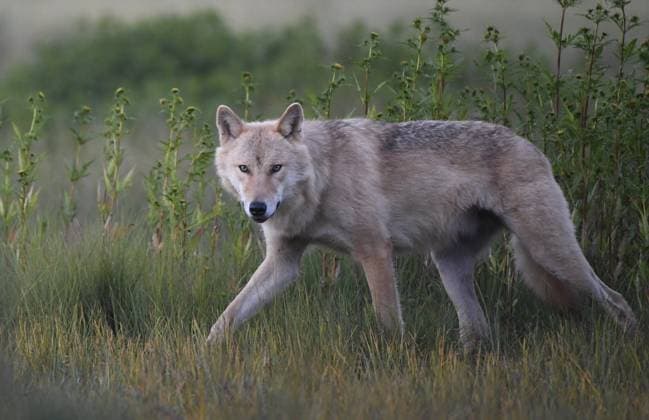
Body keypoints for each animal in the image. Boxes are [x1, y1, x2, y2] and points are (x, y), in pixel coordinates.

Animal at [206, 102, 636, 351]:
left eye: (276, 168)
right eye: (244, 169)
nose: (257, 208)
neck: (321, 178)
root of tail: (530, 145)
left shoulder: (375, 251)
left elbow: (388, 319)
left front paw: (392, 361)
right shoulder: (283, 262)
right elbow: (229, 314)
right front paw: (206, 353)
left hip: (552, 253)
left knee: (616, 299)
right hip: (450, 265)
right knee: (479, 330)